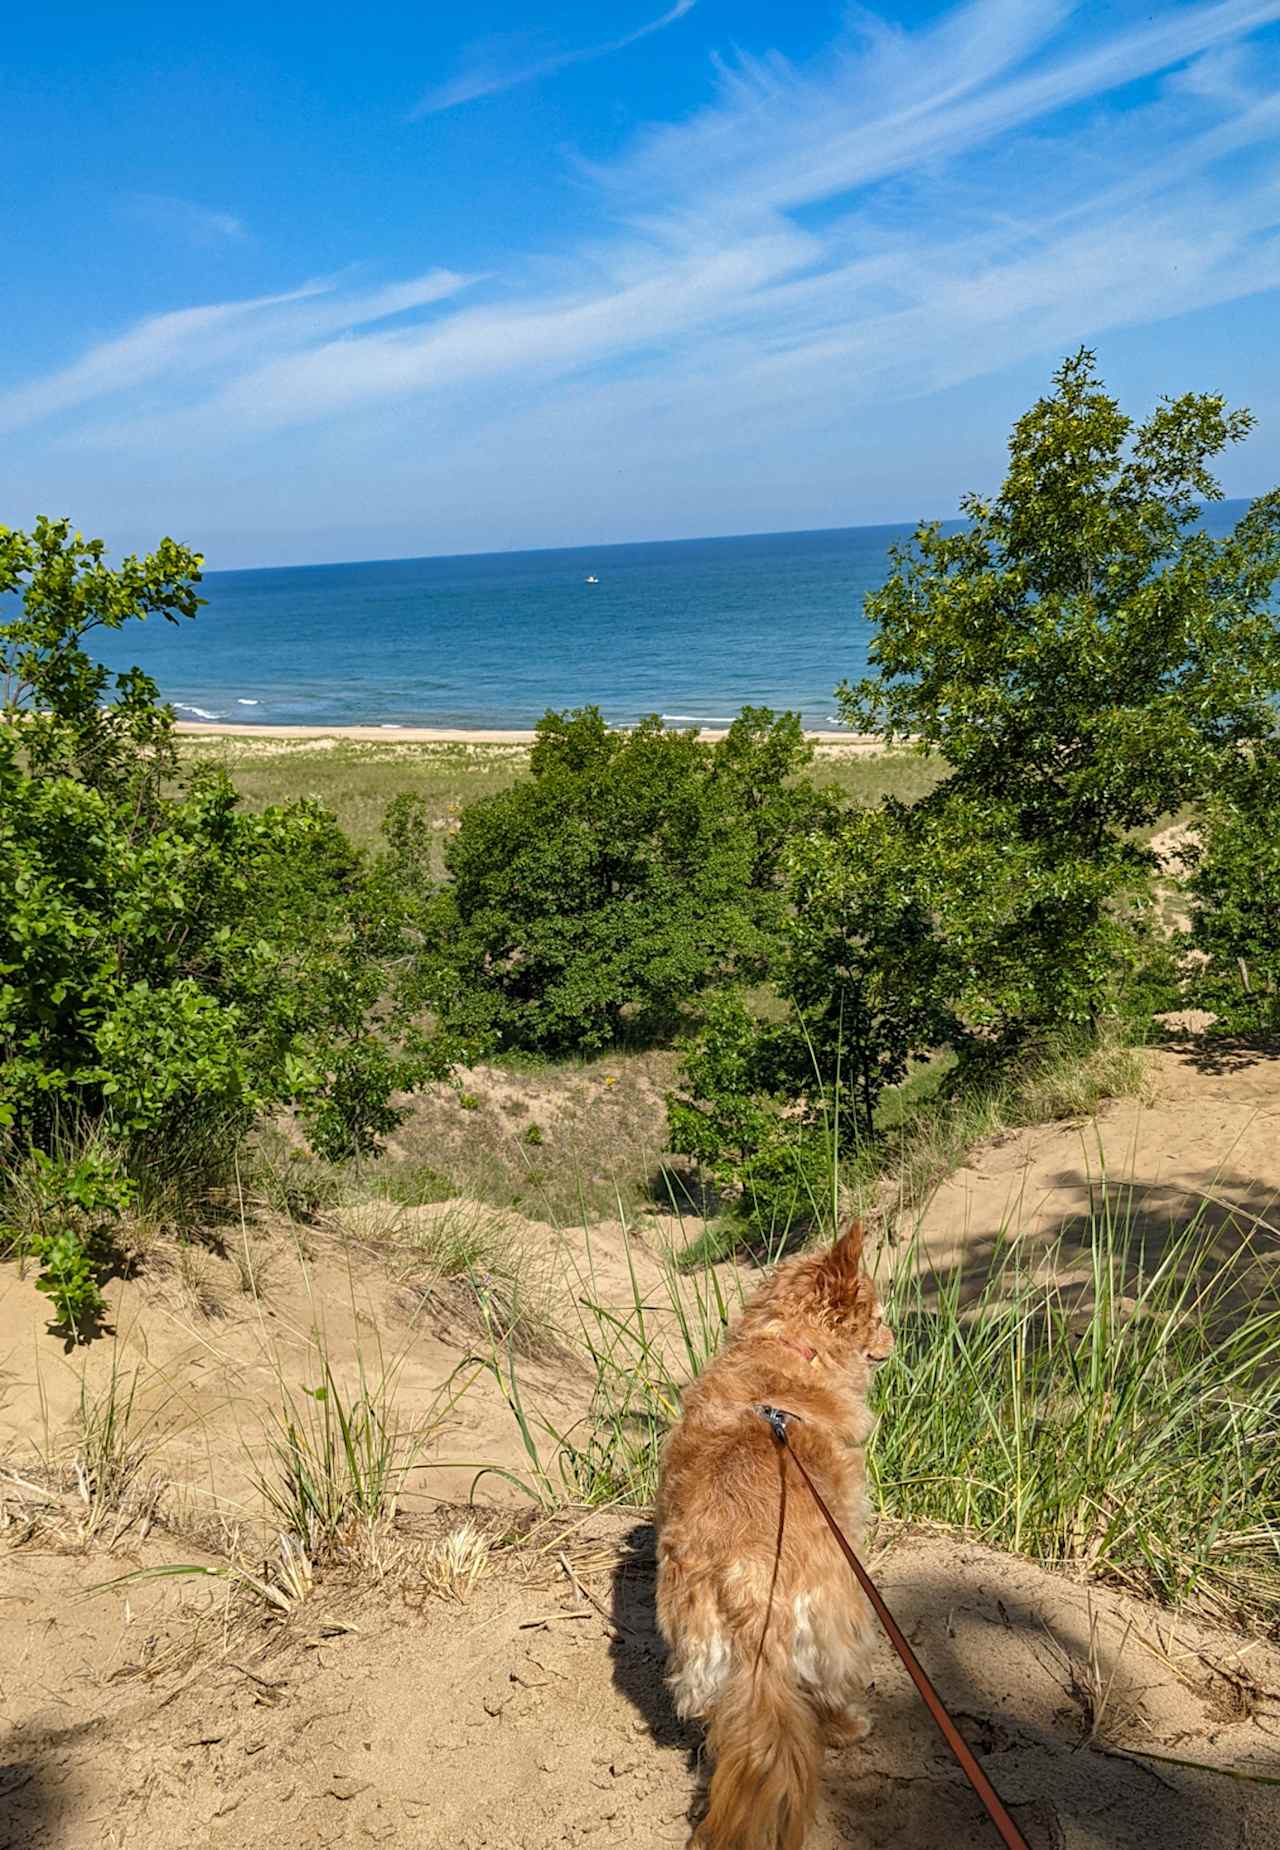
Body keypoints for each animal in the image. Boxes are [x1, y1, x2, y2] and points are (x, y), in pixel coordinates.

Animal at [658, 1221, 891, 1842]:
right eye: (879, 1316)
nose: (895, 1340)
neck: (788, 1351)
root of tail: (749, 1592)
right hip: (840, 1622)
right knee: (829, 1696)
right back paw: (851, 1726)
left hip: (699, 1654)